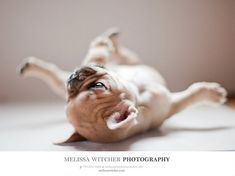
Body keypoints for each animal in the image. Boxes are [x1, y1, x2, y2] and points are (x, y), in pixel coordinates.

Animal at [17, 27, 227, 143]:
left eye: (97, 85)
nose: (74, 77)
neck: (138, 95)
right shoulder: (171, 104)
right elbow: (191, 95)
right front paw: (213, 93)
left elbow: (96, 56)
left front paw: (102, 45)